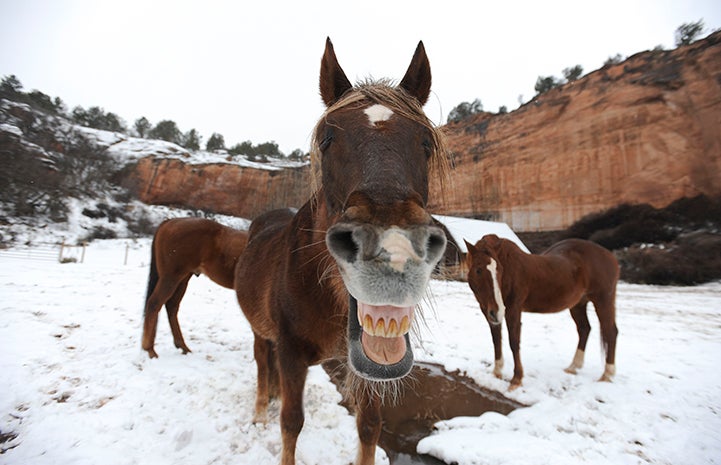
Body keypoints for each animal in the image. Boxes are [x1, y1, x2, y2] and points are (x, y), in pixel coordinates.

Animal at [139, 218, 249, 358]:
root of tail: (170, 222)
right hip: (170, 278)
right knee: (154, 304)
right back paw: (151, 350)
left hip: (182, 280)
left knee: (171, 306)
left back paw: (182, 346)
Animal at [235, 40, 450, 464]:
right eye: (326, 140)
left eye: (425, 142)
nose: (392, 247)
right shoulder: (291, 355)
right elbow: (291, 423)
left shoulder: (366, 369)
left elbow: (369, 427)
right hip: (259, 332)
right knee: (262, 367)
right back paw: (259, 412)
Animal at [466, 234, 620, 390]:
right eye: (478, 270)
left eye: (501, 270)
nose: (498, 310)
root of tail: (611, 257)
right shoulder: (488, 311)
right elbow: (496, 339)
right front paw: (497, 371)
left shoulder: (513, 309)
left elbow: (514, 342)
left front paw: (516, 379)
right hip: (578, 305)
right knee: (584, 329)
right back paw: (573, 367)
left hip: (603, 301)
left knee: (611, 332)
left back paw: (607, 374)